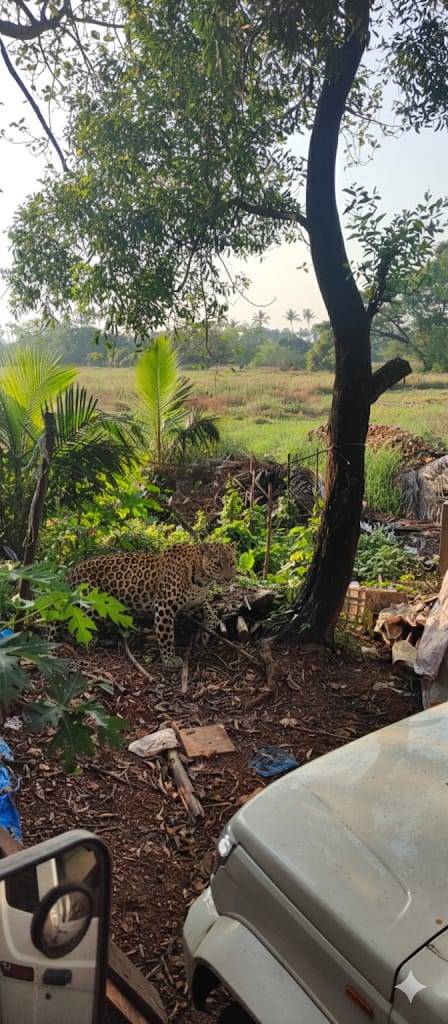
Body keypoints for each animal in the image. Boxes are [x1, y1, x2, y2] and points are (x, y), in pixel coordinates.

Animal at [67, 542, 236, 668]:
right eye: (218, 564)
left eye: (232, 563)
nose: (229, 578)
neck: (202, 578)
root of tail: (72, 571)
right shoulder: (164, 605)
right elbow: (166, 634)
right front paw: (169, 659)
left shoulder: (195, 602)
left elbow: (212, 615)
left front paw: (204, 635)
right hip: (88, 603)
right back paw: (90, 641)